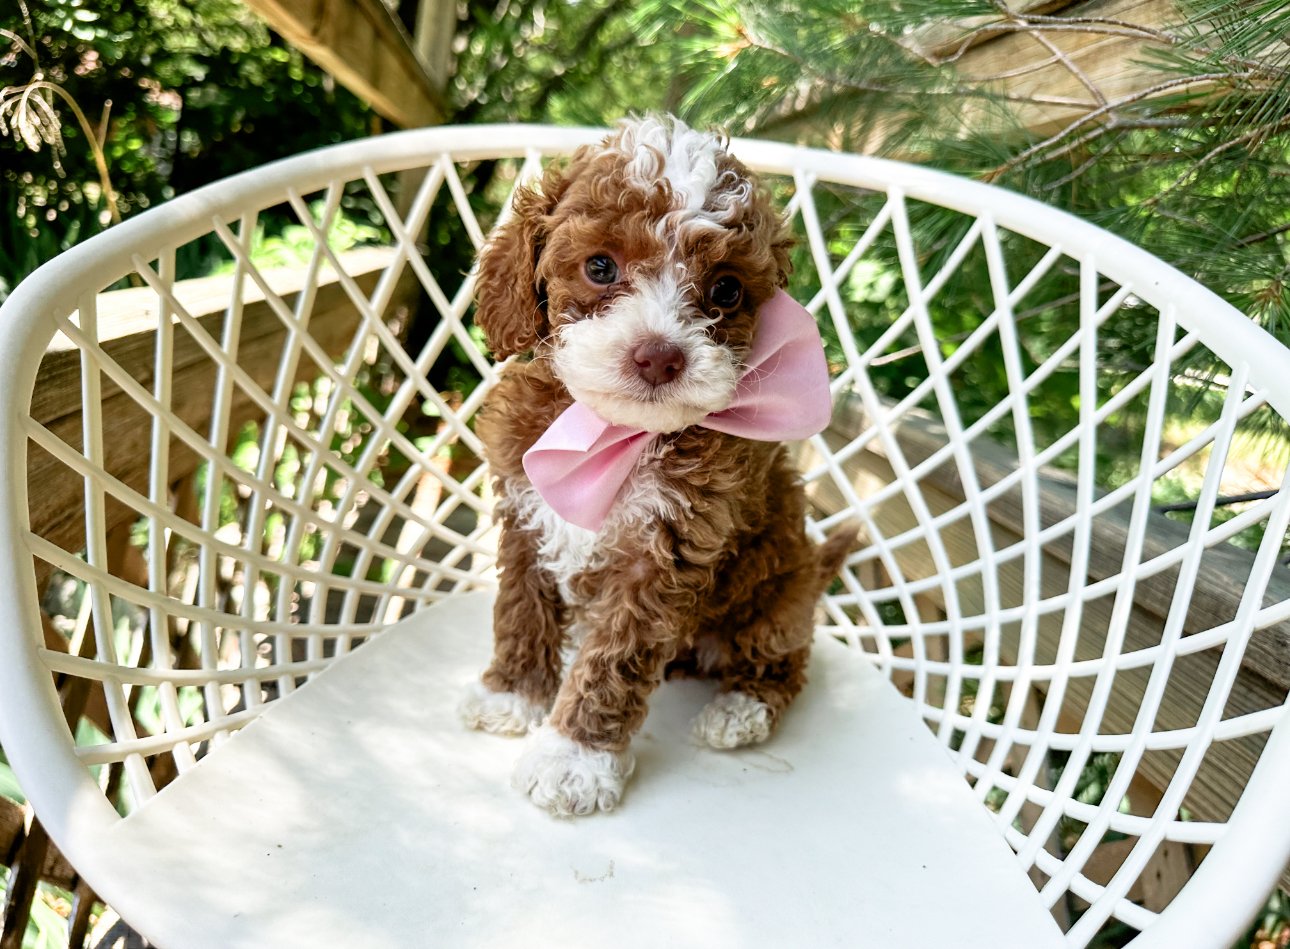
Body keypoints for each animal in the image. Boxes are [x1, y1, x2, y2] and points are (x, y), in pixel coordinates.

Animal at [459, 116, 851, 814]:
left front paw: (574, 759)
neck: (611, 435)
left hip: (780, 602)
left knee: (782, 661)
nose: (659, 356)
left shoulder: (666, 554)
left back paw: (739, 710)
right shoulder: (526, 514)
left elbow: (614, 660)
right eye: (600, 266)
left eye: (725, 289)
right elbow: (521, 607)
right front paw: (514, 691)